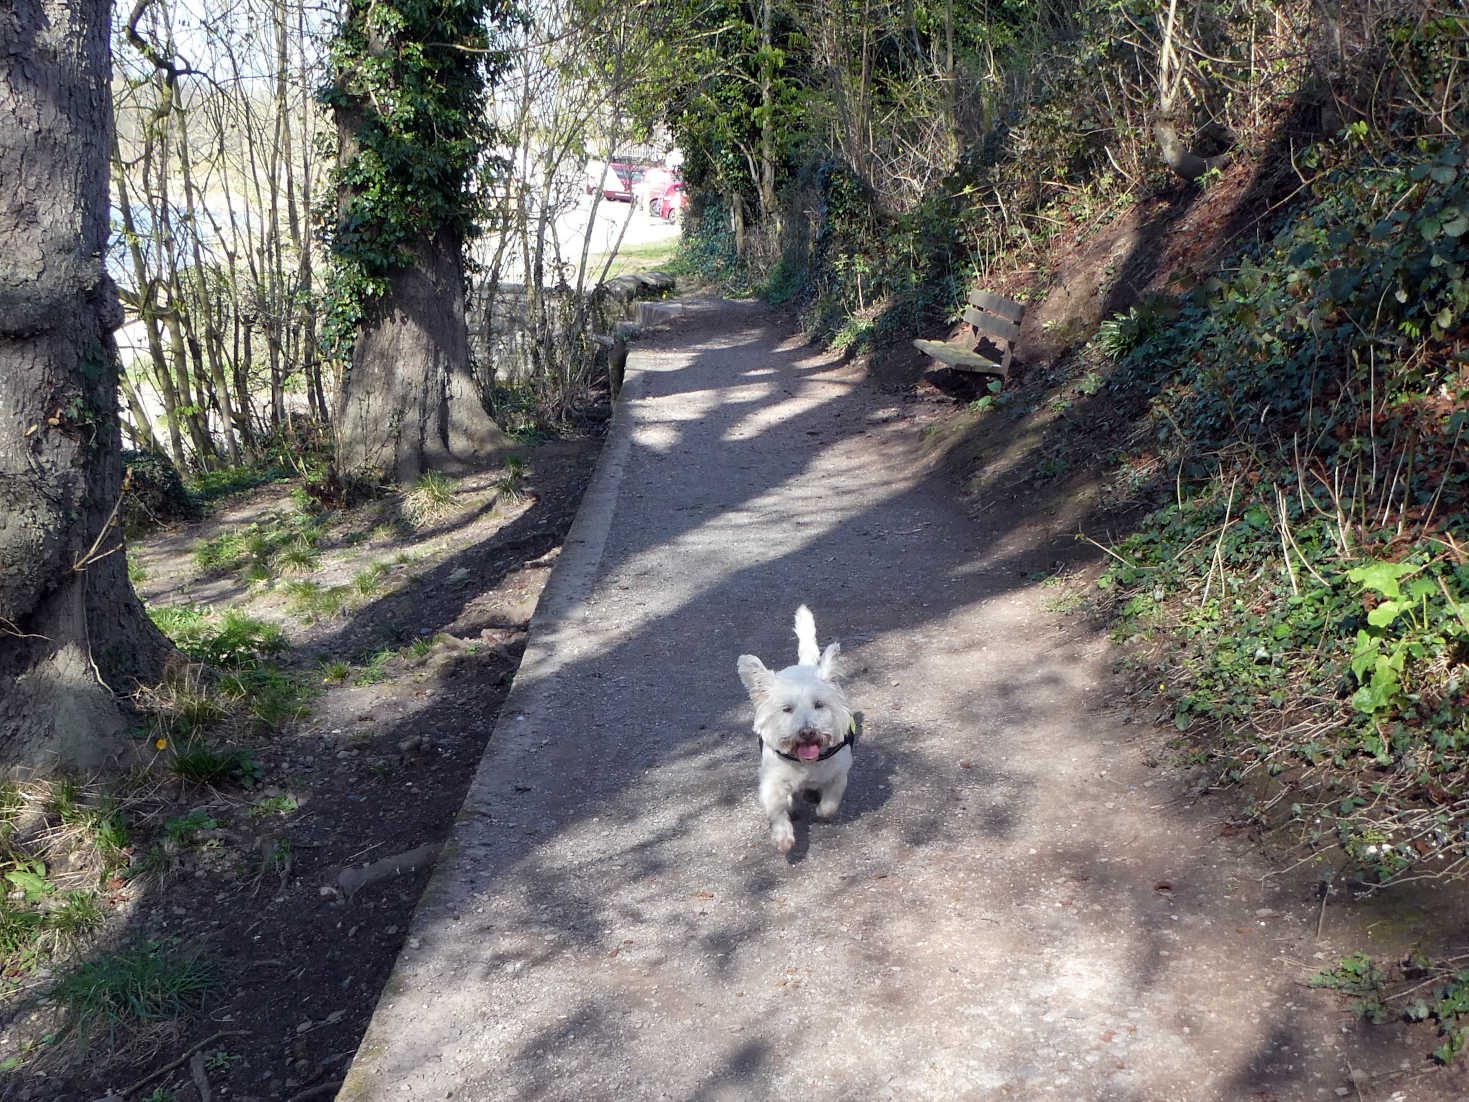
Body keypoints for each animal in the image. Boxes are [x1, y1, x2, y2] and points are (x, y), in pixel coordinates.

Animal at [740, 608, 857, 858]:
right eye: (786, 709)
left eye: (819, 705)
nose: (807, 732)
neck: (807, 764)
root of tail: (803, 665)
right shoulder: (772, 780)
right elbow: (777, 809)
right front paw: (783, 838)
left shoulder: (839, 772)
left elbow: (831, 802)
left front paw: (821, 809)